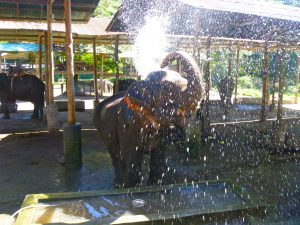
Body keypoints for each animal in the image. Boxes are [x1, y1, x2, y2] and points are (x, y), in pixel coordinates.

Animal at [95, 51, 203, 188]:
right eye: (167, 90)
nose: (162, 64)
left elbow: (158, 158)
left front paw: (153, 186)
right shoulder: (127, 125)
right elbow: (132, 159)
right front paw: (130, 187)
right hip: (101, 128)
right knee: (114, 153)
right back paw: (118, 184)